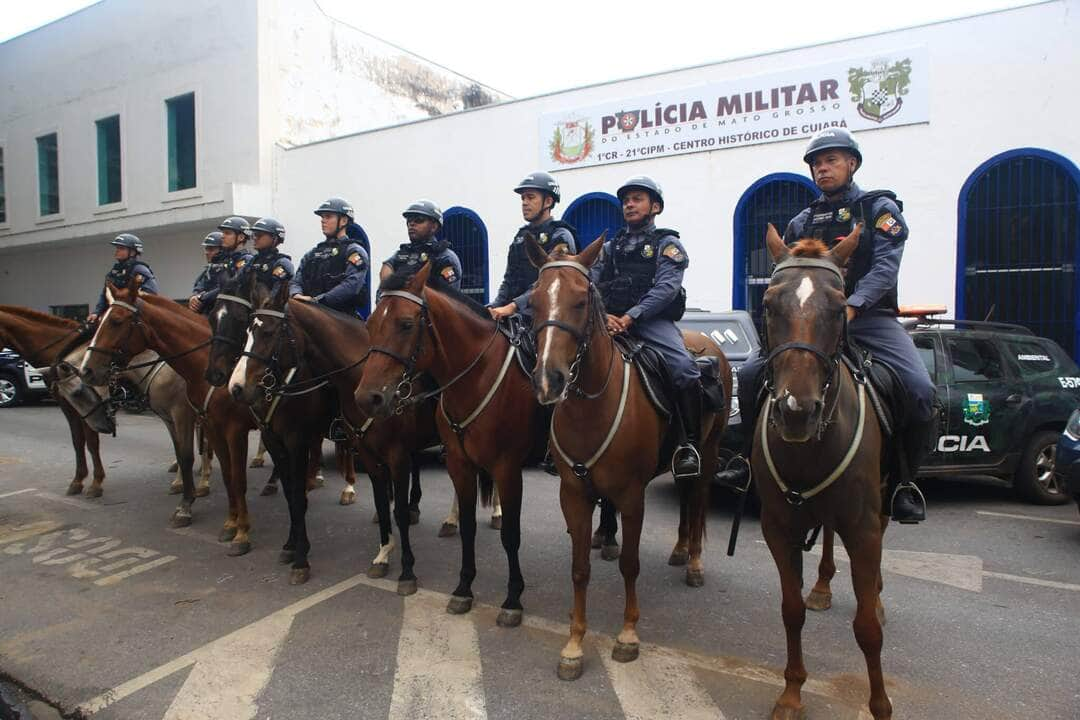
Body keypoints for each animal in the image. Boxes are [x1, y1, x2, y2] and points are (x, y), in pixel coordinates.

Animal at [0, 306, 107, 498]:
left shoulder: (87, 404)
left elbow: (92, 442)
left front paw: (96, 482)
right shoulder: (67, 405)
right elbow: (77, 440)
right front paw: (78, 480)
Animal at [78, 284, 260, 557]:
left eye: (117, 321)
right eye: (98, 321)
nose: (86, 370)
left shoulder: (222, 426)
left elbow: (230, 475)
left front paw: (240, 532)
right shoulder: (201, 424)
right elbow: (209, 466)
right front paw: (218, 517)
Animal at [522, 236, 725, 682]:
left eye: (581, 300)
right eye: (534, 301)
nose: (548, 380)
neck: (591, 406)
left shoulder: (632, 497)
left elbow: (630, 564)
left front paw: (628, 634)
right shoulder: (573, 494)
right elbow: (579, 567)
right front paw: (574, 644)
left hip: (710, 452)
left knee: (700, 498)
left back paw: (694, 563)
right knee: (686, 500)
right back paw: (680, 549)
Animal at [751, 223, 894, 720]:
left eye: (838, 306)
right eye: (768, 304)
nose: (797, 412)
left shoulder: (863, 526)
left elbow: (868, 628)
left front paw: (880, 705)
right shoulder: (779, 526)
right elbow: (790, 610)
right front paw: (792, 693)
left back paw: (876, 592)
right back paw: (823, 586)